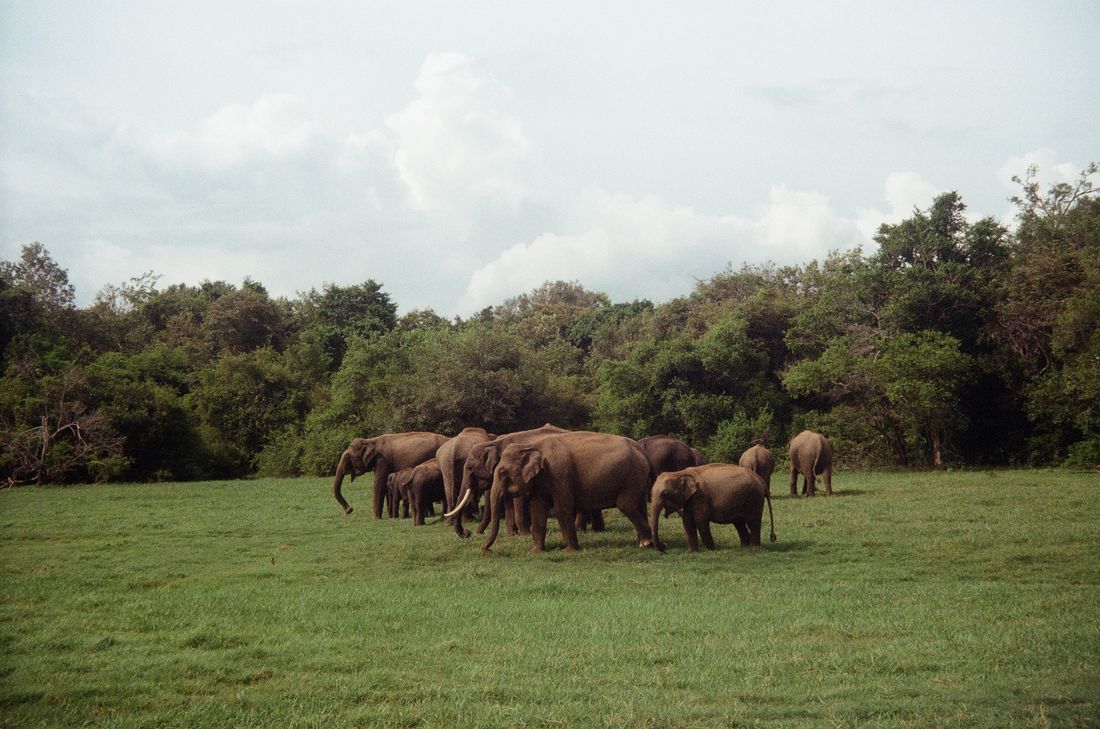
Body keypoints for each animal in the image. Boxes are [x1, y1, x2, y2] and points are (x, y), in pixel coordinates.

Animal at [481, 431, 654, 553]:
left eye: (502, 472)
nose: (487, 550)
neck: (533, 445)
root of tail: (641, 449)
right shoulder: (541, 480)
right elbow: (537, 508)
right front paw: (535, 552)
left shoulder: (559, 472)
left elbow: (562, 507)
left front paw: (569, 551)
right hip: (638, 478)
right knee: (639, 506)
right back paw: (643, 543)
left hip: (632, 476)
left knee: (626, 505)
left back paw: (646, 543)